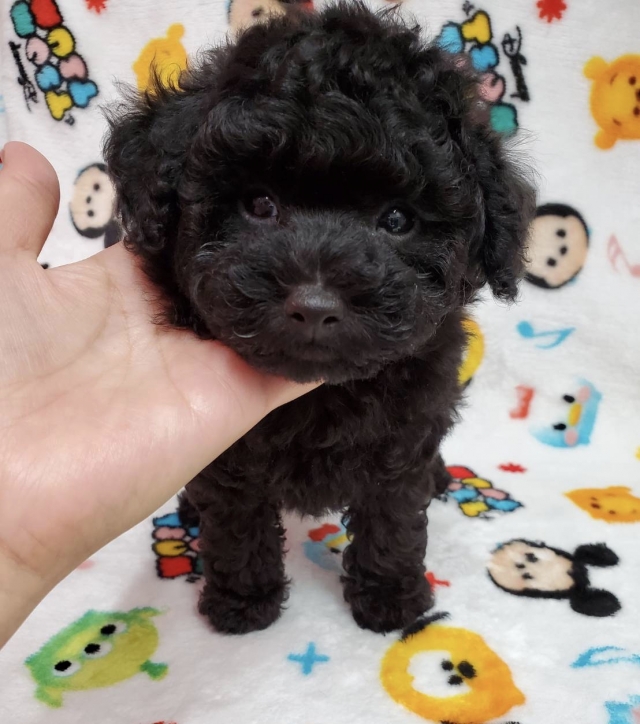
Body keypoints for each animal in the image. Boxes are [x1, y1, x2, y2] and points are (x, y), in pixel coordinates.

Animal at [104, 2, 535, 634]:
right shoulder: (228, 459)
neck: (322, 393)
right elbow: (236, 519)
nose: (314, 306)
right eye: (259, 203)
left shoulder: (405, 433)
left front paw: (390, 599)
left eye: (398, 220)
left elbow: (393, 515)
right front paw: (243, 601)